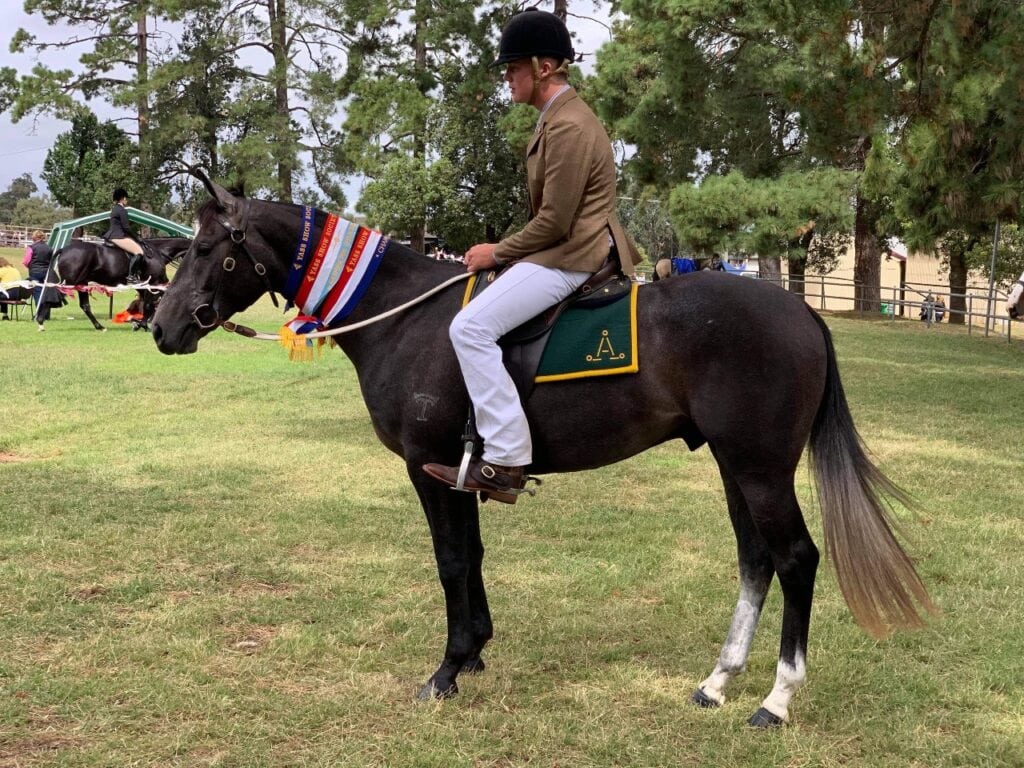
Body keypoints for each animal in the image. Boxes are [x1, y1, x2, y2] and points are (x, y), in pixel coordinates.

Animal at [48, 236, 192, 329]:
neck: (158, 253)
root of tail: (64, 249)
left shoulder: (143, 285)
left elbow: (148, 302)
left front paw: (140, 322)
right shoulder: (154, 283)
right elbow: (150, 303)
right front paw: (143, 324)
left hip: (82, 283)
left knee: (85, 306)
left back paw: (99, 326)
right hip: (70, 283)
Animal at [151, 177, 937, 729]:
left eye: (202, 249)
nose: (161, 326)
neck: (405, 317)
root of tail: (800, 310)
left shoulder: (425, 469)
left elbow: (451, 562)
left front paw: (447, 671)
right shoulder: (457, 471)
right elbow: (471, 557)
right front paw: (474, 654)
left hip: (760, 467)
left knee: (795, 559)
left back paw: (775, 700)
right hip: (734, 465)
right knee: (755, 559)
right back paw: (717, 682)